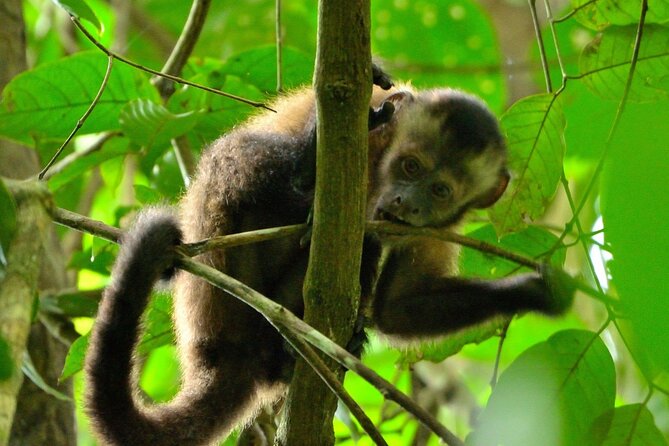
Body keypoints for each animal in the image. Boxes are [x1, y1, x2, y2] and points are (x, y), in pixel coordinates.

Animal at [84, 68, 573, 446]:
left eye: (439, 191)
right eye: (410, 166)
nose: (406, 202)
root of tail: (222, 355)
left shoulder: (441, 224)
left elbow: (399, 307)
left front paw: (536, 292)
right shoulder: (370, 126)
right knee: (235, 164)